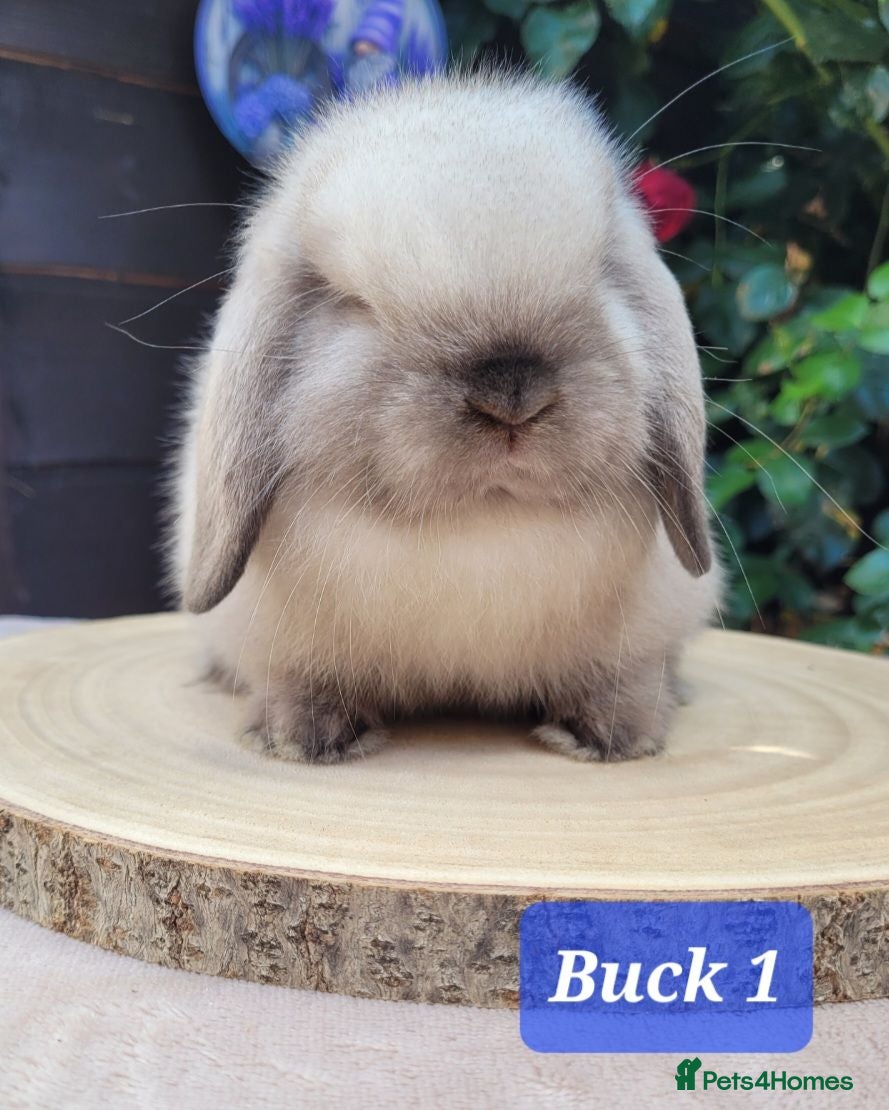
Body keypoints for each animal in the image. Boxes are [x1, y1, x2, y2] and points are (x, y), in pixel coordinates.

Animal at [169, 70, 721, 765]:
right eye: (352, 303)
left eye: (601, 275)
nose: (512, 395)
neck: (479, 527)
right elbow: (300, 678)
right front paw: (301, 739)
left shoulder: (636, 639)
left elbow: (621, 677)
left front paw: (613, 737)